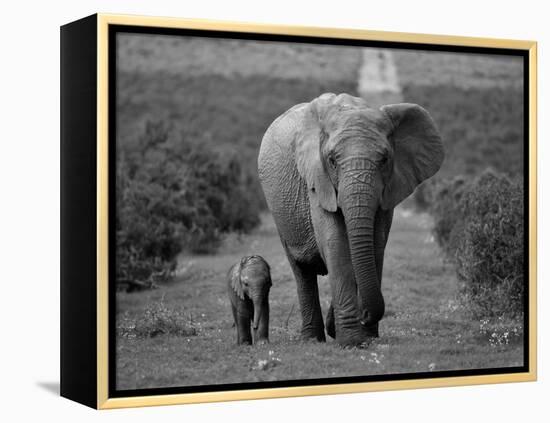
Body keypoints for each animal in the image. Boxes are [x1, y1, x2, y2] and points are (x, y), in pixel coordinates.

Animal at [258, 93, 444, 348]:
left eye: (385, 159)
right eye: (332, 161)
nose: (364, 314)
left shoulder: (388, 189)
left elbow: (376, 245)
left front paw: (366, 336)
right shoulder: (318, 182)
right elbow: (335, 243)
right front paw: (352, 342)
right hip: (280, 213)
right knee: (302, 271)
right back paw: (312, 339)